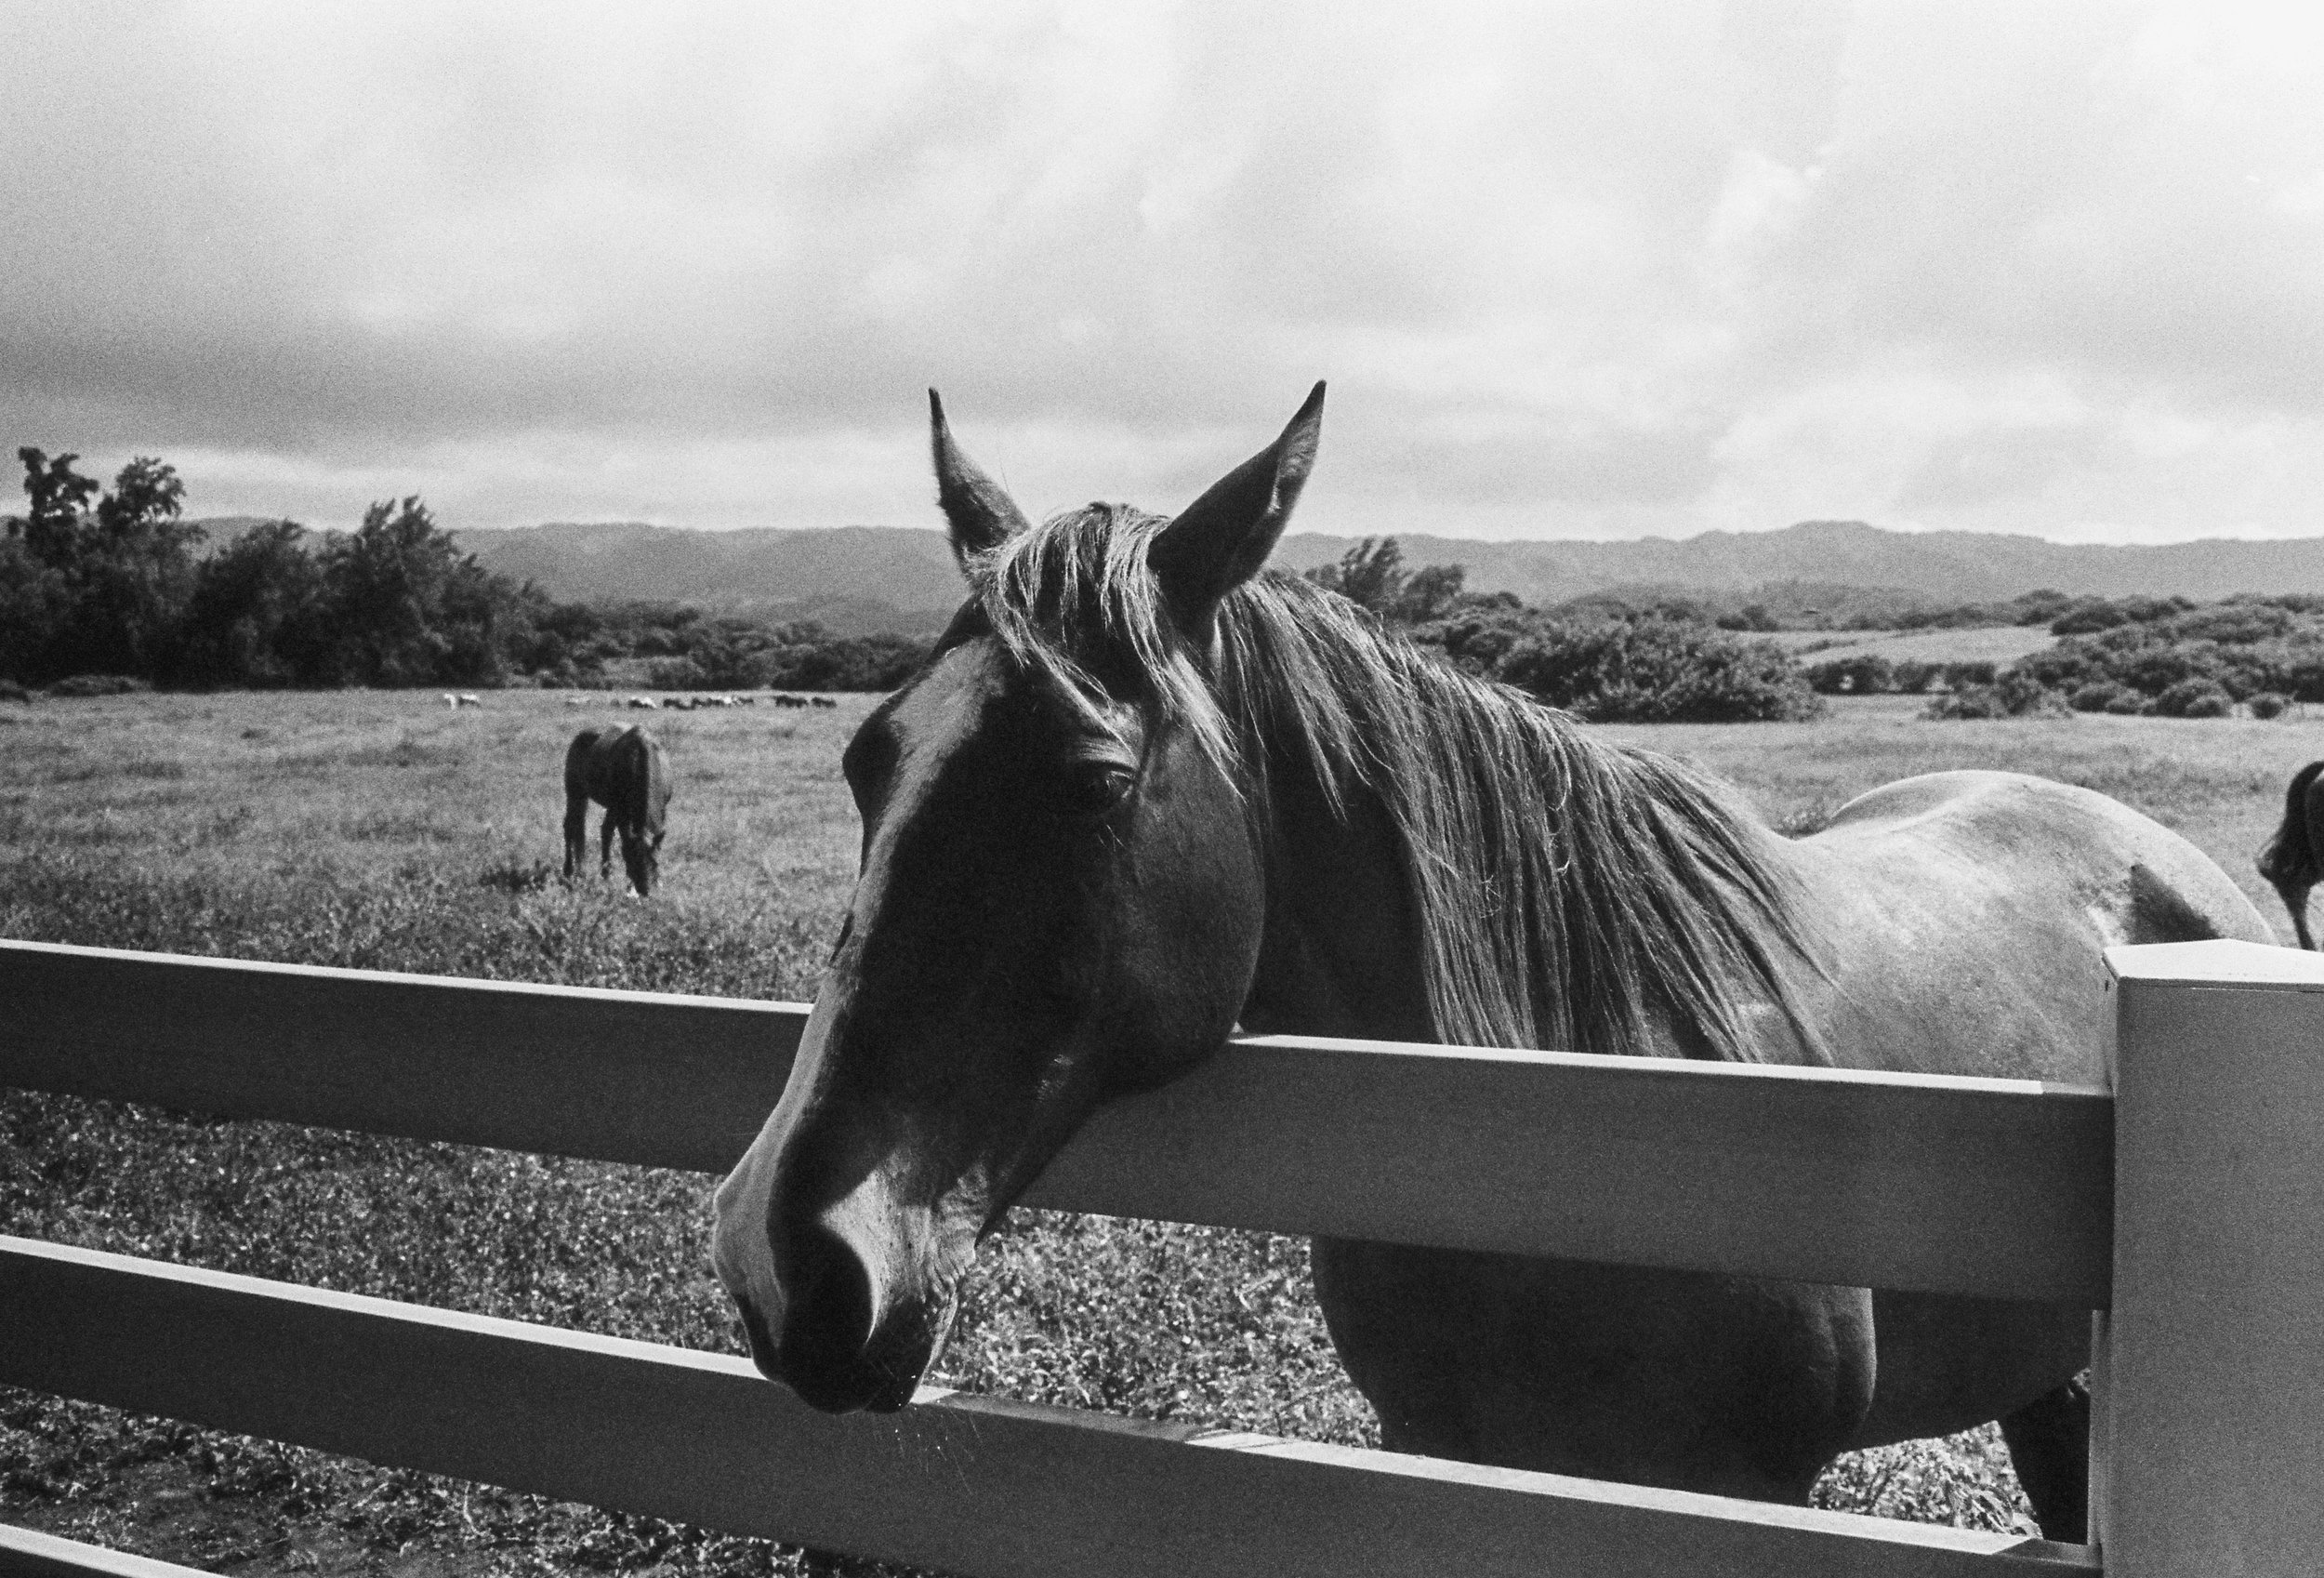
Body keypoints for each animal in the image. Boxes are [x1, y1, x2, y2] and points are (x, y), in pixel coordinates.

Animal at [562, 725, 672, 896]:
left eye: (654, 861)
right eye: (632, 861)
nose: (645, 891)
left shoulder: (661, 810)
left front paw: (658, 881)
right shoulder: (622, 813)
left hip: (608, 807)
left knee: (603, 831)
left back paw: (605, 874)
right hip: (576, 794)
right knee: (572, 827)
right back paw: (571, 872)